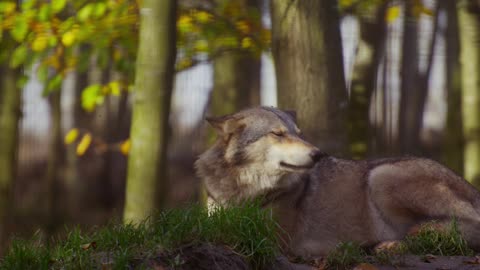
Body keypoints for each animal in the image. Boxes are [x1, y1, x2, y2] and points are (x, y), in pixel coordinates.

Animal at [194, 106, 480, 258]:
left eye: (299, 134)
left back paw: (387, 245)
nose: (318, 153)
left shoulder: (271, 239)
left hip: (380, 175)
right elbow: (211, 227)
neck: (244, 190)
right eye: (278, 134)